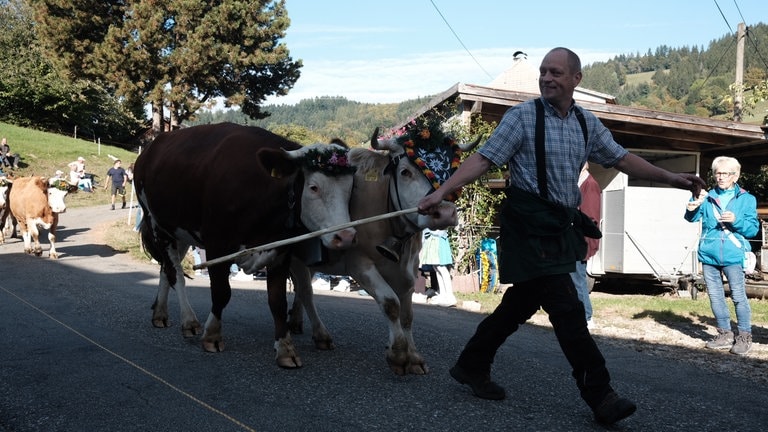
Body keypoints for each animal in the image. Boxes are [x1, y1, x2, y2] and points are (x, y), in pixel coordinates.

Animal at [134, 121, 356, 358]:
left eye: (350, 189)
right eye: (313, 187)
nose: (346, 236)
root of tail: (149, 149)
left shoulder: (279, 251)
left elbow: (278, 300)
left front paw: (285, 348)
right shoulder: (217, 245)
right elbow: (221, 293)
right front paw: (212, 335)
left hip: (179, 232)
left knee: (165, 269)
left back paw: (160, 313)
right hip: (157, 224)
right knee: (175, 273)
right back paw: (188, 320)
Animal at [286, 125, 476, 374]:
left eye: (453, 172)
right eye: (405, 172)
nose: (444, 213)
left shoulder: (408, 270)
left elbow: (407, 315)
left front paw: (414, 356)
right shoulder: (360, 265)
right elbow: (391, 303)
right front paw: (398, 354)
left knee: (301, 289)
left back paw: (296, 321)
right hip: (298, 257)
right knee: (306, 292)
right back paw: (321, 335)